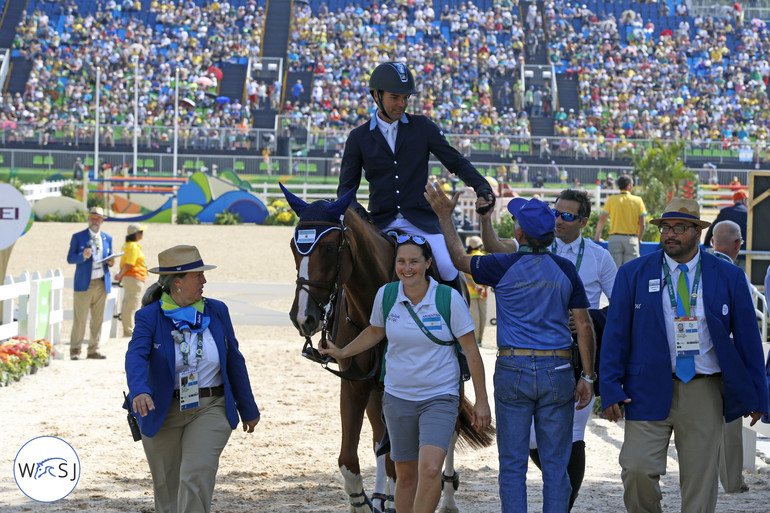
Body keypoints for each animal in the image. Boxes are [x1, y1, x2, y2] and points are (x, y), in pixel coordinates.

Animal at [280, 186, 492, 512]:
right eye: (294, 246)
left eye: (328, 248)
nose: (303, 317)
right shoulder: (356, 385)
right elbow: (350, 460)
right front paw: (363, 502)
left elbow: (402, 458)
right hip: (375, 392)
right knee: (379, 440)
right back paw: (382, 495)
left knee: (449, 431)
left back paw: (446, 498)